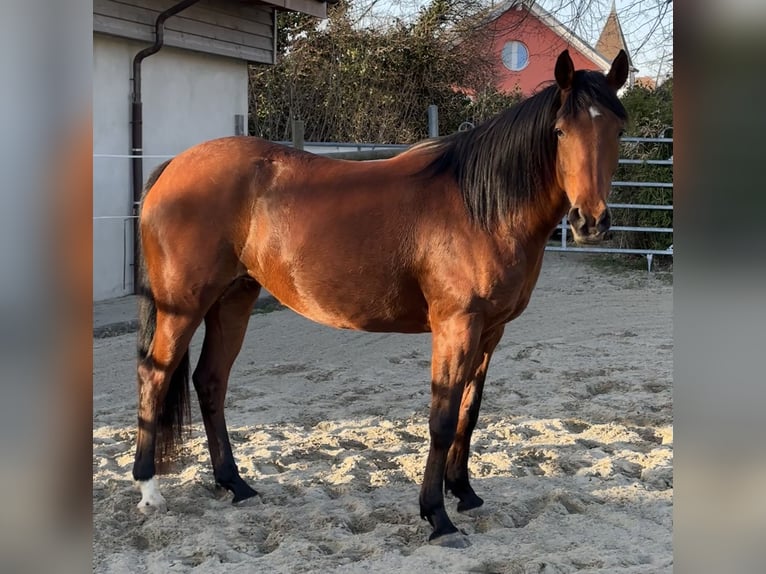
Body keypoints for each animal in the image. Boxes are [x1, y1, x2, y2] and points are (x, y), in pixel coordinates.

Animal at [132, 49, 629, 546]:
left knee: (210, 381)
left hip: (234, 299)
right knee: (155, 375)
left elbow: (469, 412)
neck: (482, 207)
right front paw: (437, 516)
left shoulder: (491, 331)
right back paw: (149, 489)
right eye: (560, 131)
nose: (590, 222)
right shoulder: (456, 325)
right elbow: (442, 418)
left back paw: (234, 483)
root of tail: (174, 167)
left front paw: (464, 492)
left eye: (617, 130)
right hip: (183, 306)